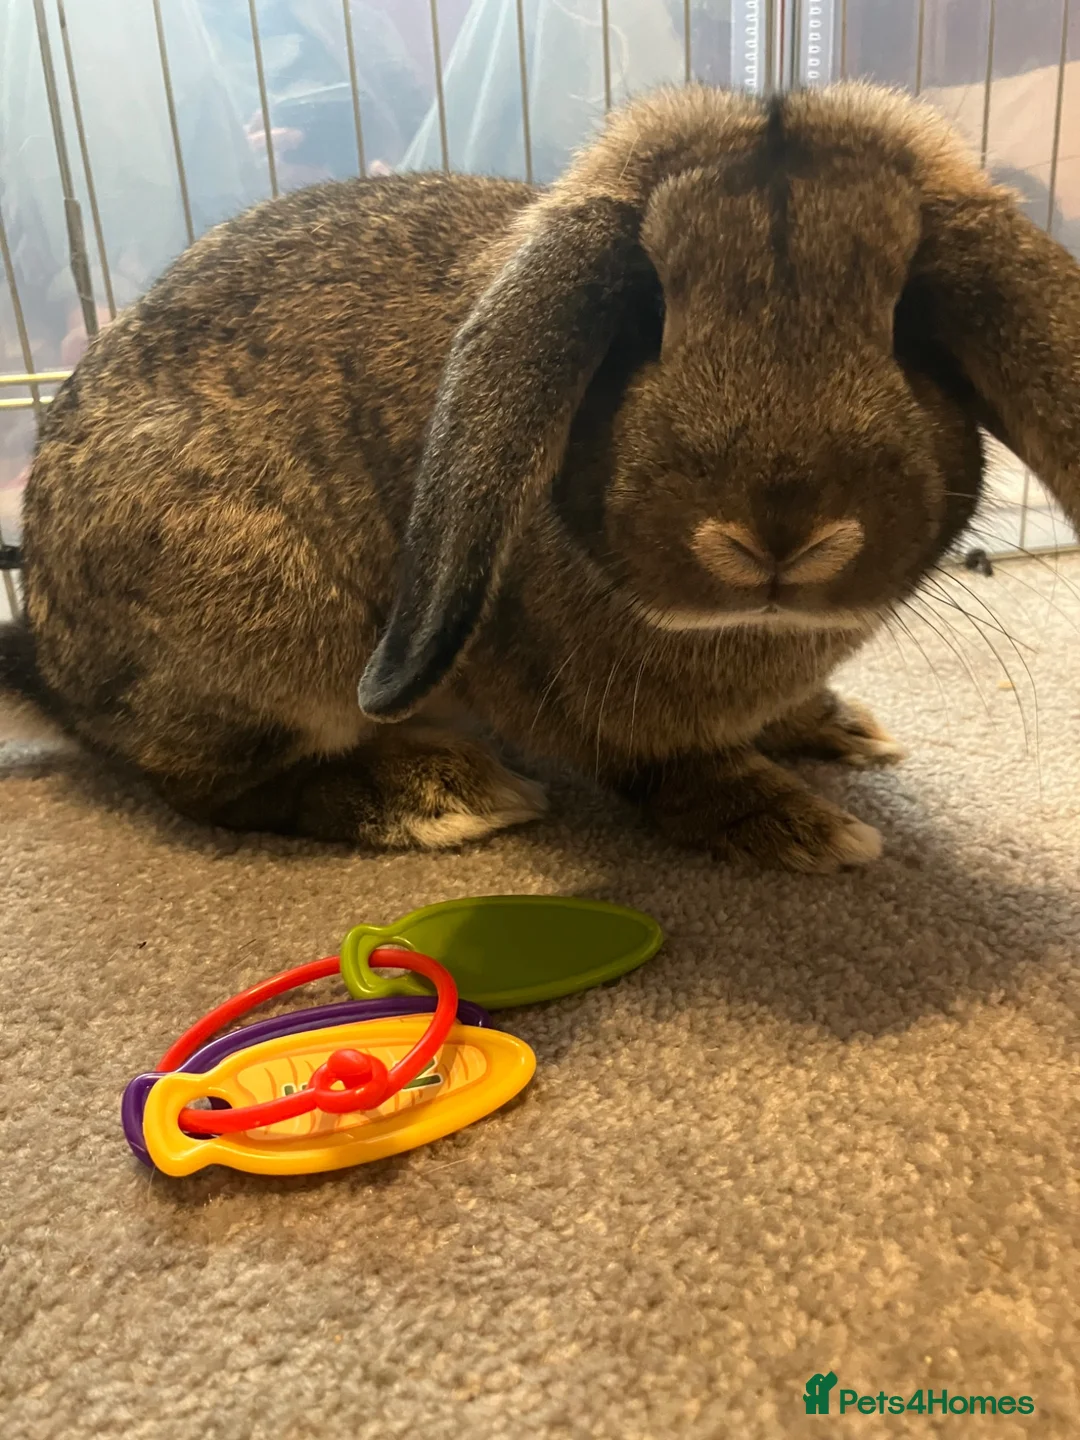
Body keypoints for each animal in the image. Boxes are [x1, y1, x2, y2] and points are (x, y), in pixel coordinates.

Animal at [5, 82, 1080, 872]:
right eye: (642, 323)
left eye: (912, 329)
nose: (780, 536)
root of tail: (50, 661)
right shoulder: (596, 713)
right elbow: (674, 772)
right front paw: (806, 830)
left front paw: (837, 728)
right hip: (271, 624)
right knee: (211, 787)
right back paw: (441, 796)